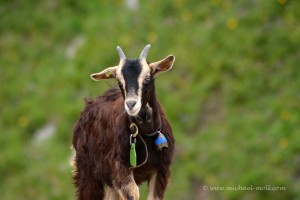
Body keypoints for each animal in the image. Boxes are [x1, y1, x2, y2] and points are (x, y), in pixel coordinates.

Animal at [72, 44, 176, 199]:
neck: (145, 134)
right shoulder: (119, 170)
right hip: (89, 174)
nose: (131, 104)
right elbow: (133, 194)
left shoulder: (161, 170)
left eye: (147, 77)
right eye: (119, 80)